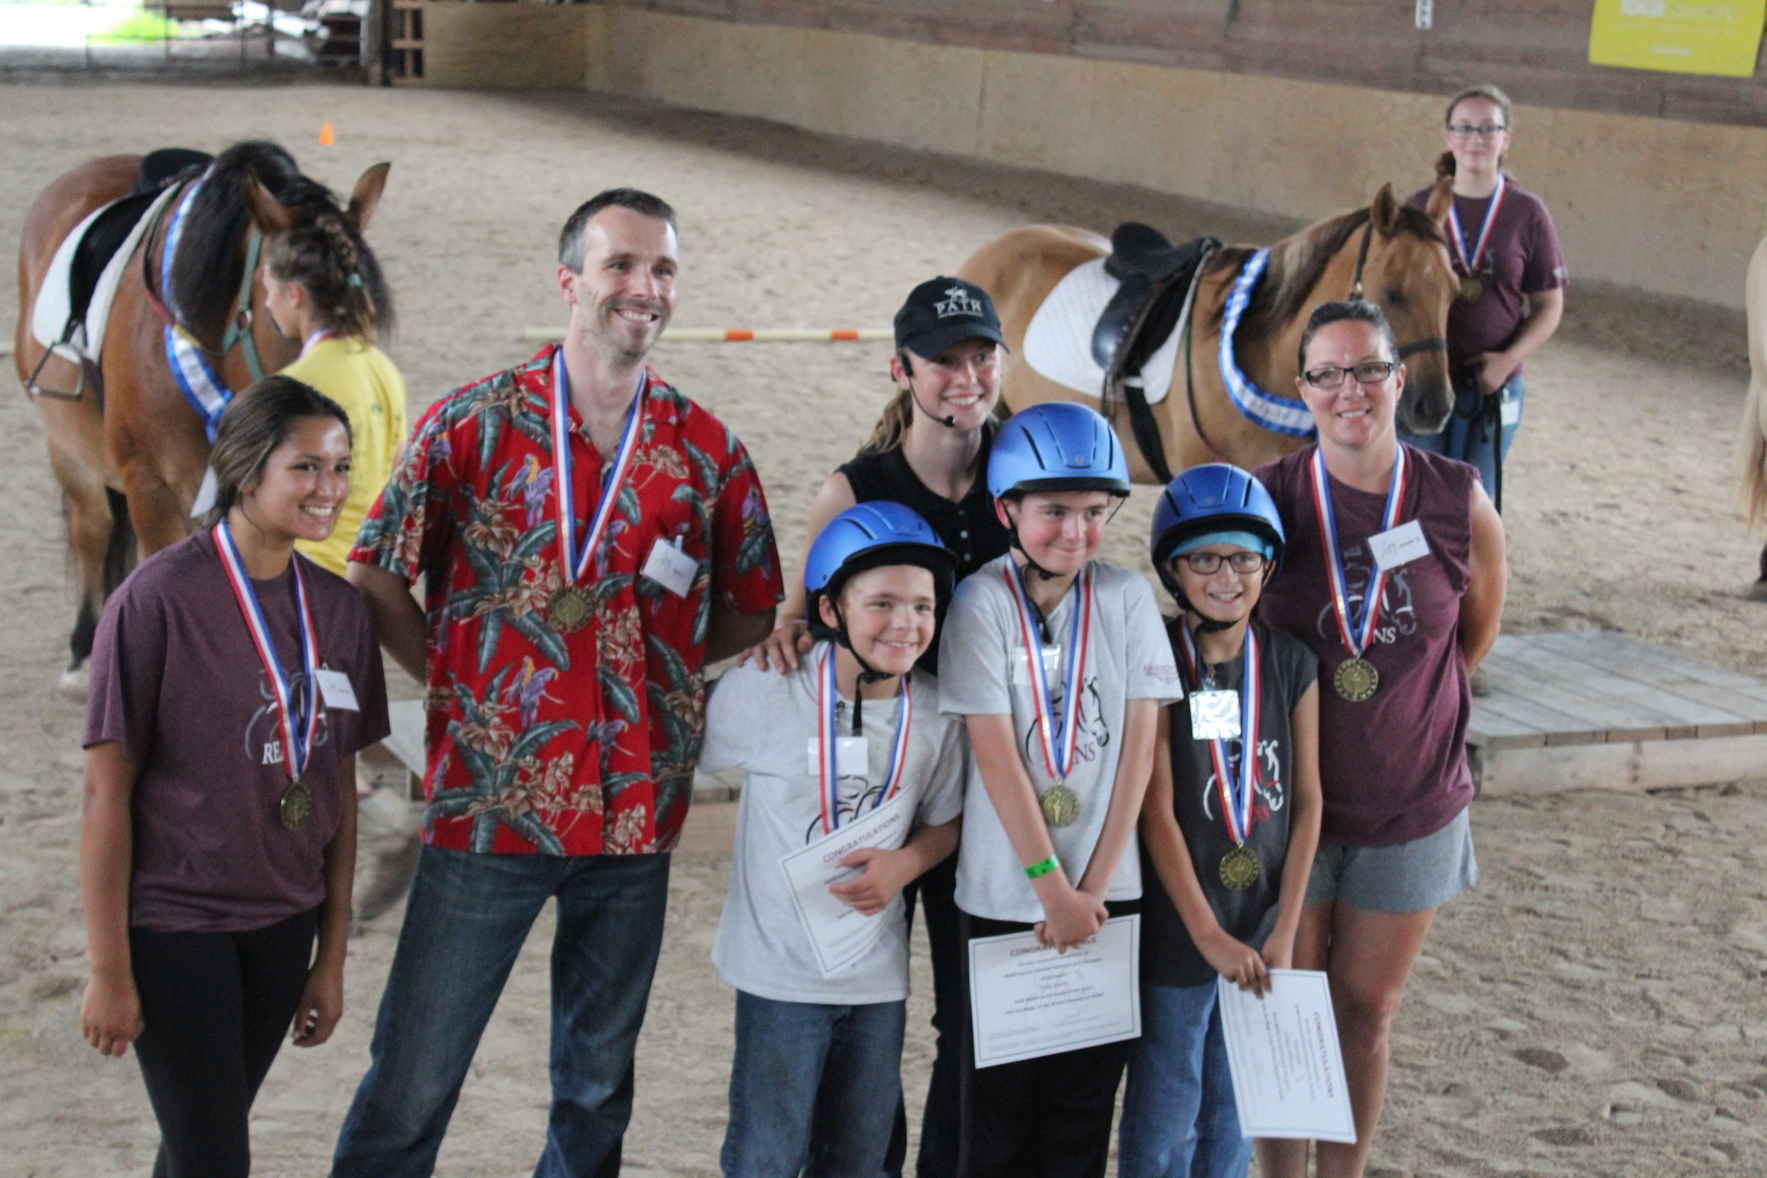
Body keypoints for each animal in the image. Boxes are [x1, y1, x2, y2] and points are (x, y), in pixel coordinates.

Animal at [15, 139, 388, 685]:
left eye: (370, 316)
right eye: (297, 317)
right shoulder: (150, 487)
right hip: (67, 445)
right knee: (92, 525)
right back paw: (84, 647)